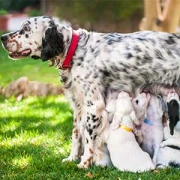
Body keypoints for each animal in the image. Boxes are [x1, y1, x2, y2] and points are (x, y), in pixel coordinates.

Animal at [1, 15, 180, 169]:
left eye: (26, 28)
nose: (2, 38)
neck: (75, 51)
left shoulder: (94, 105)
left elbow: (88, 139)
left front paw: (85, 163)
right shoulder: (78, 106)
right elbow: (76, 135)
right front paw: (72, 158)